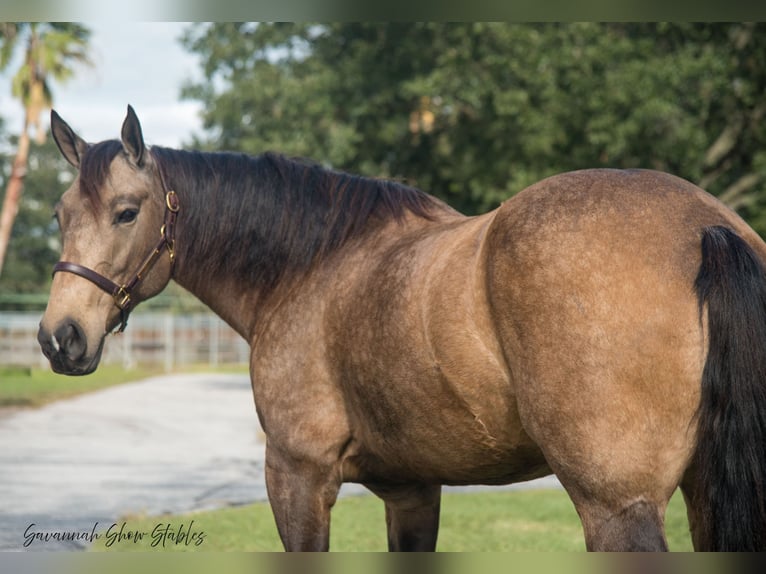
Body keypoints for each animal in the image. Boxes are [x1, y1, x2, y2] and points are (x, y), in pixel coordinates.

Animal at [39, 106, 766, 552]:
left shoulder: (297, 476)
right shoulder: (413, 491)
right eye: (59, 213)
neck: (311, 265)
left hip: (617, 507)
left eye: (127, 211)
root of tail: (706, 227)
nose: (59, 336)